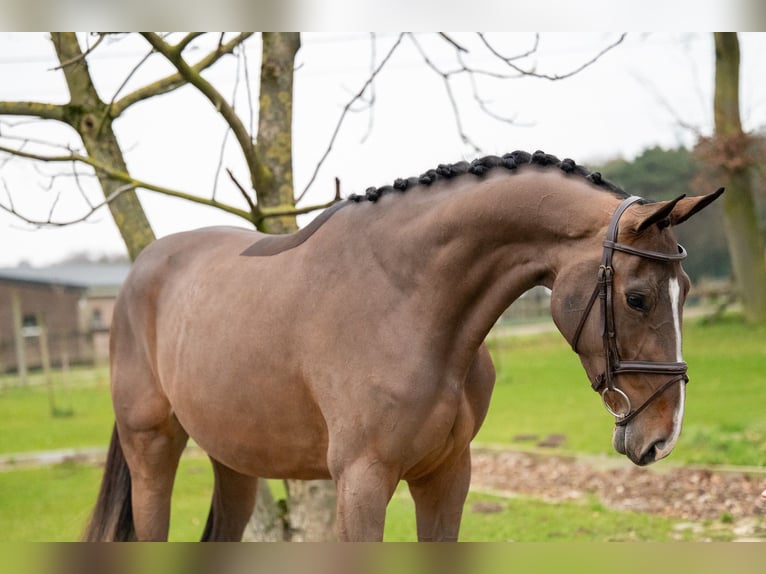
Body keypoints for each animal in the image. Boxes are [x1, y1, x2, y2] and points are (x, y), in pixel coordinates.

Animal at [85, 151, 728, 544]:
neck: (409, 301)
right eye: (639, 298)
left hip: (235, 462)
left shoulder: (447, 475)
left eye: (687, 290)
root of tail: (140, 271)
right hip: (152, 449)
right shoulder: (362, 483)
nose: (662, 436)